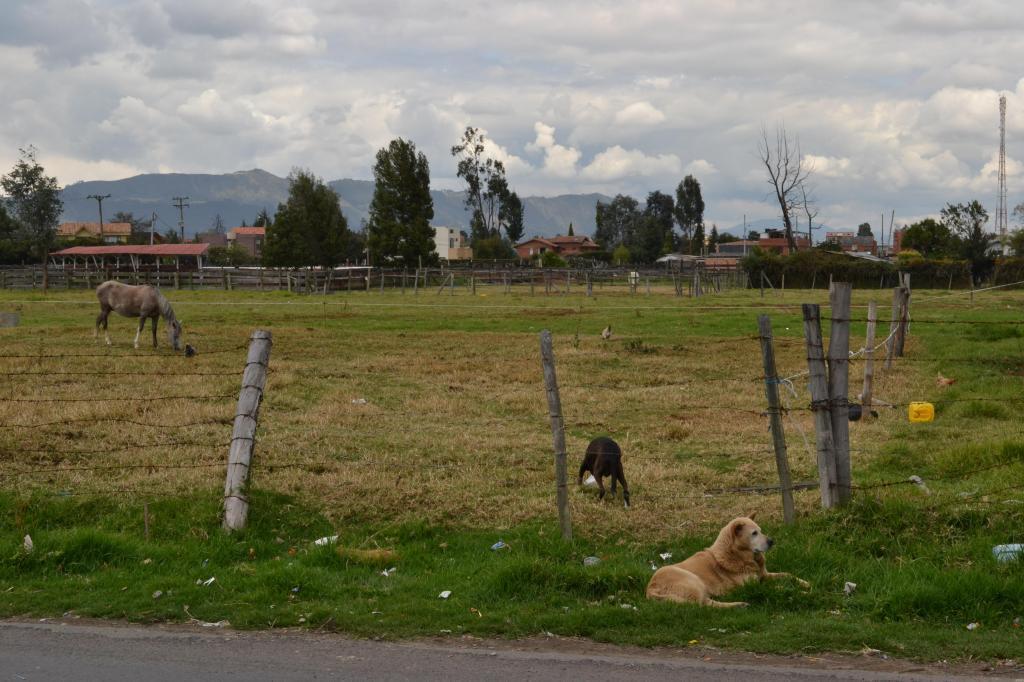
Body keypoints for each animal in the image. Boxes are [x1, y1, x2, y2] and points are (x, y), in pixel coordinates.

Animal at [647, 512, 806, 602]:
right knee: (704, 604)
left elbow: (788, 574)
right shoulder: (753, 586)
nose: (771, 541)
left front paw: (804, 583)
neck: (737, 555)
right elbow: (778, 588)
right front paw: (799, 591)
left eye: (760, 531)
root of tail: (650, 589)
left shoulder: (764, 576)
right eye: (754, 533)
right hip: (692, 579)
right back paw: (738, 604)